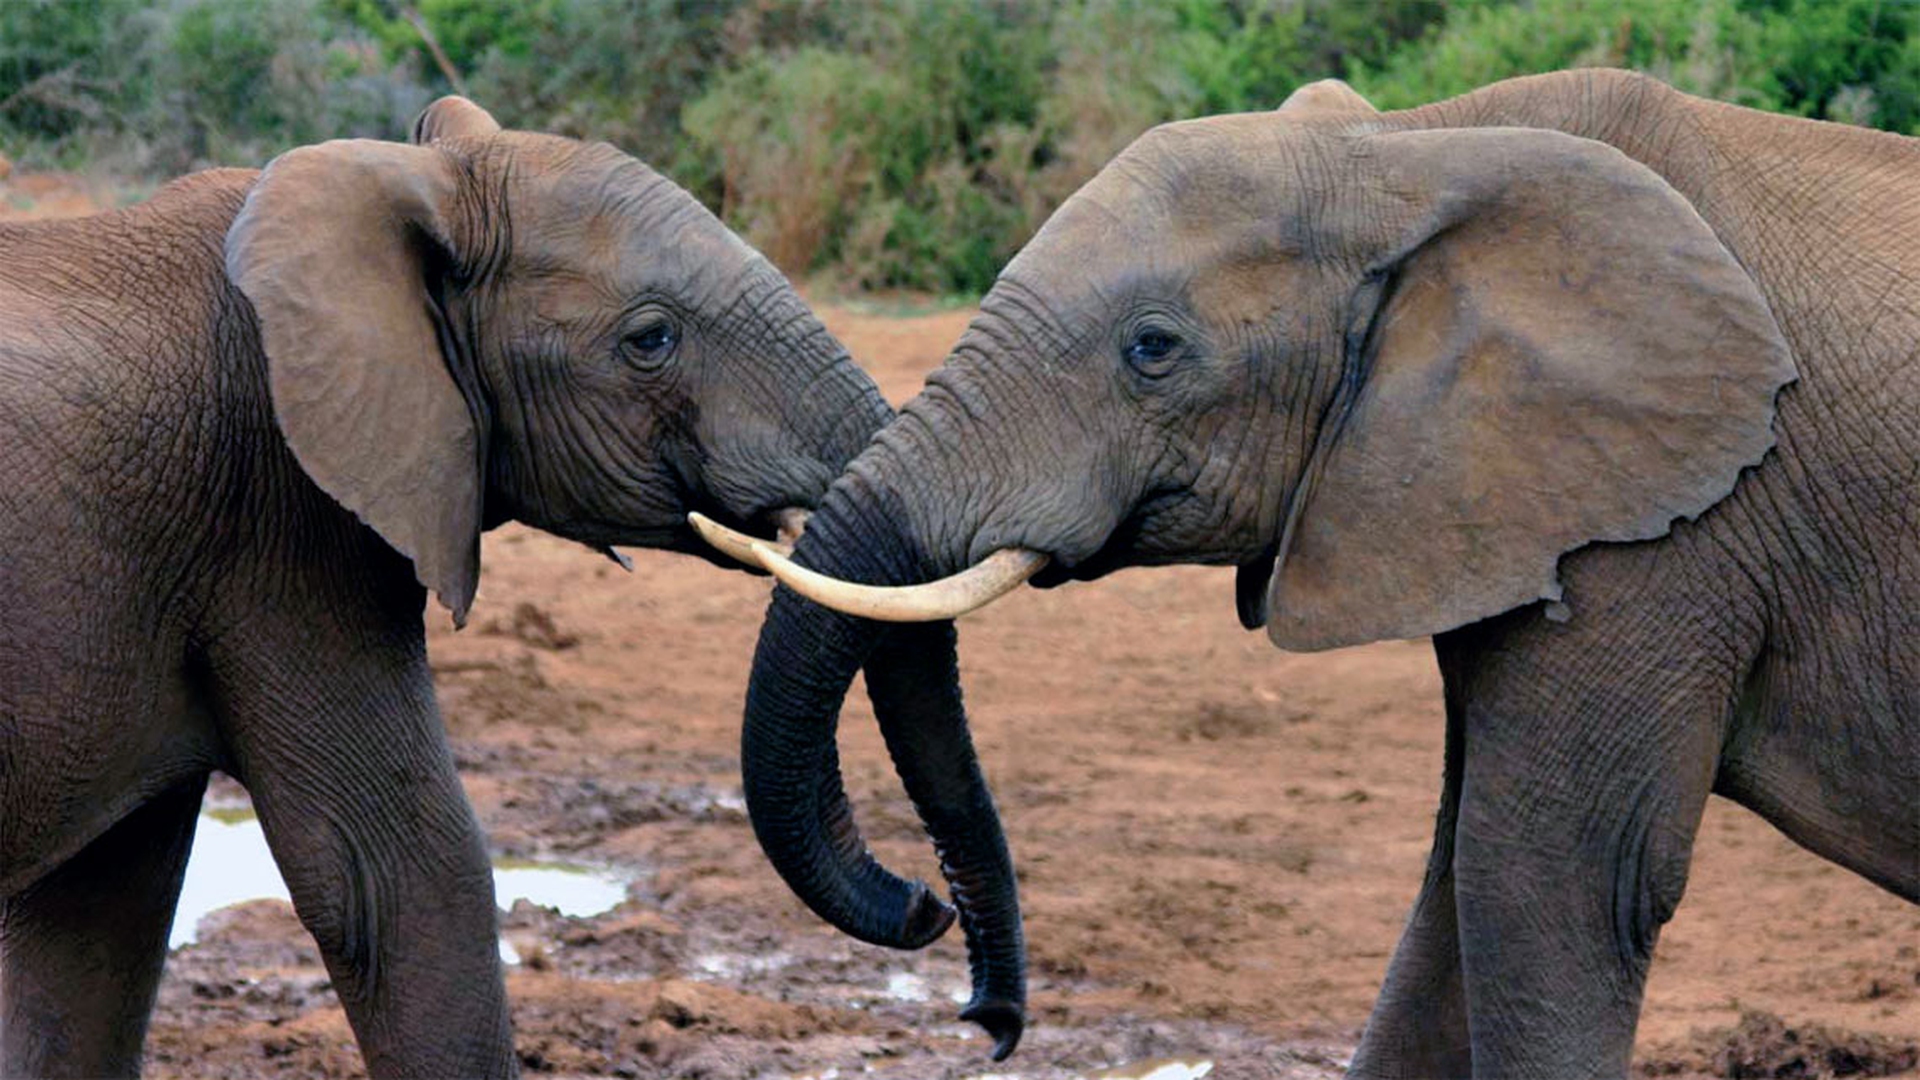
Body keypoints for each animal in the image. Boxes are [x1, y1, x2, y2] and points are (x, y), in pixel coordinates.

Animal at [702, 71, 1920, 1068]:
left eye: (1153, 349)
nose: (944, 942)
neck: (1413, 148)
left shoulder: (1668, 528)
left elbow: (1554, 883)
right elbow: (1458, 883)